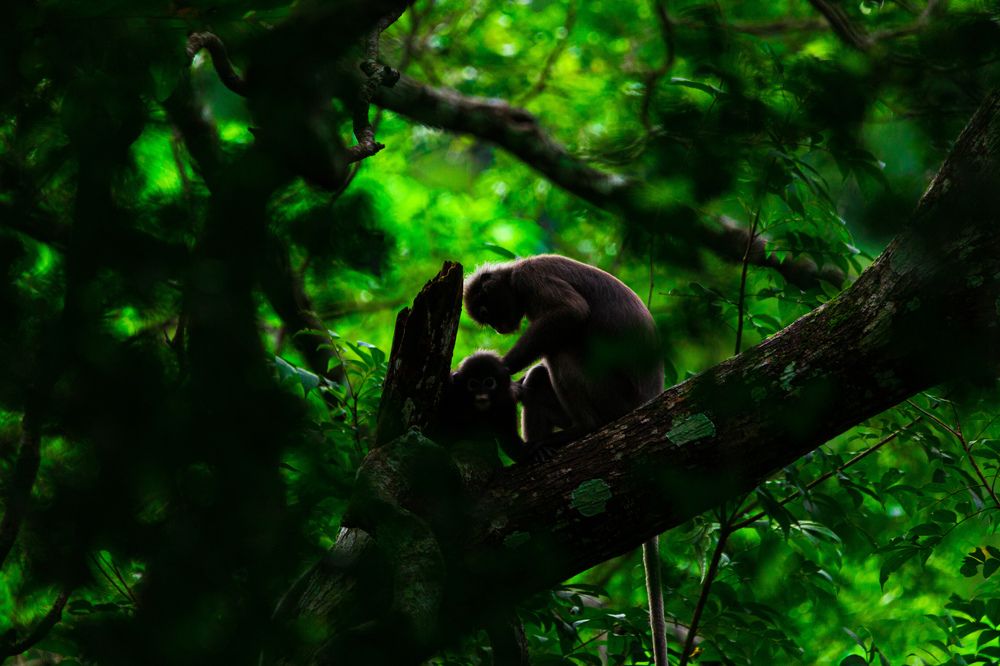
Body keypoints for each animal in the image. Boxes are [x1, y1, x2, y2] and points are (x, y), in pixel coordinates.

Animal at [463, 254, 669, 666]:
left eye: (486, 311)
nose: (499, 328)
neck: (516, 273)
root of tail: (647, 402)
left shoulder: (532, 277)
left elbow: (570, 313)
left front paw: (502, 372)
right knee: (540, 376)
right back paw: (537, 451)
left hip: (611, 395)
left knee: (561, 346)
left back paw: (580, 429)